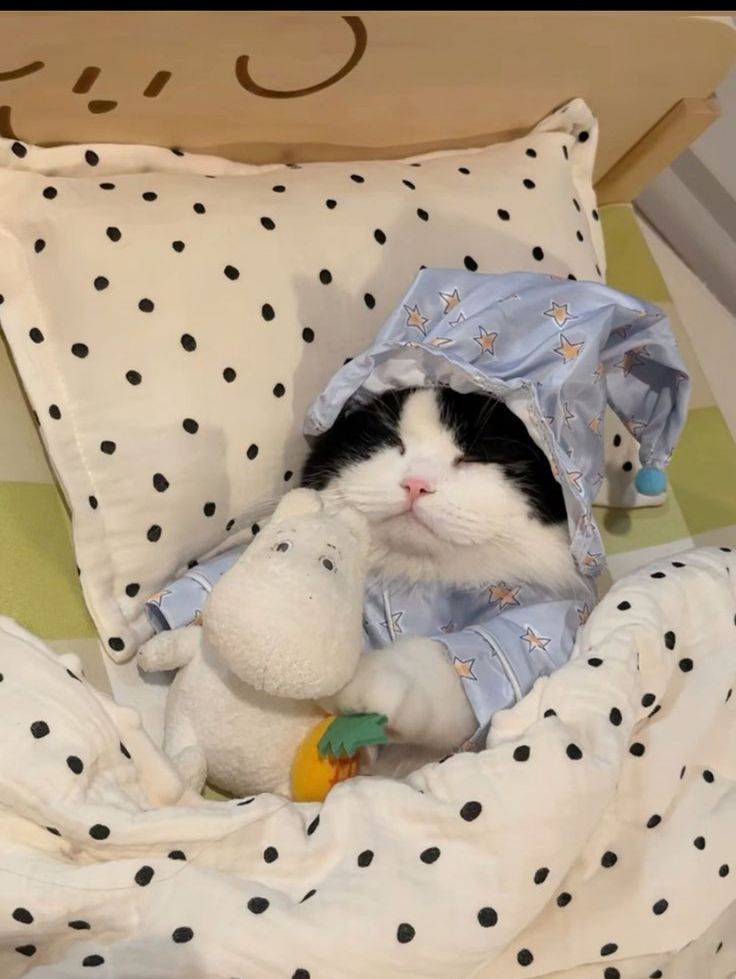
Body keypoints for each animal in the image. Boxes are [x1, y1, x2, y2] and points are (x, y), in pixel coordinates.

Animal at [300, 386, 580, 756]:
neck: (420, 582)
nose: (415, 484)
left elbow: (450, 658)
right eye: (392, 441)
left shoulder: (537, 623)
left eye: (472, 458)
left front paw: (377, 681)